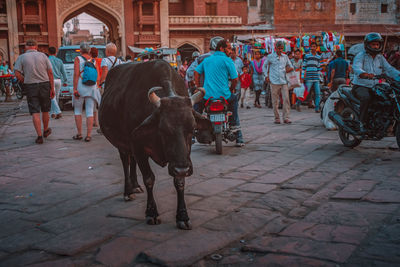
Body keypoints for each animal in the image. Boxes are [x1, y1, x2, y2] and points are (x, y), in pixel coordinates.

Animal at [99, 59, 212, 230]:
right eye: (163, 129)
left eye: (193, 129)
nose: (182, 169)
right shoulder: (138, 146)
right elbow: (149, 179)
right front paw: (151, 213)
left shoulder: (182, 157)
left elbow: (179, 181)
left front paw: (182, 216)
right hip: (122, 143)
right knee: (126, 162)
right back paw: (128, 191)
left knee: (132, 161)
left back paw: (135, 186)